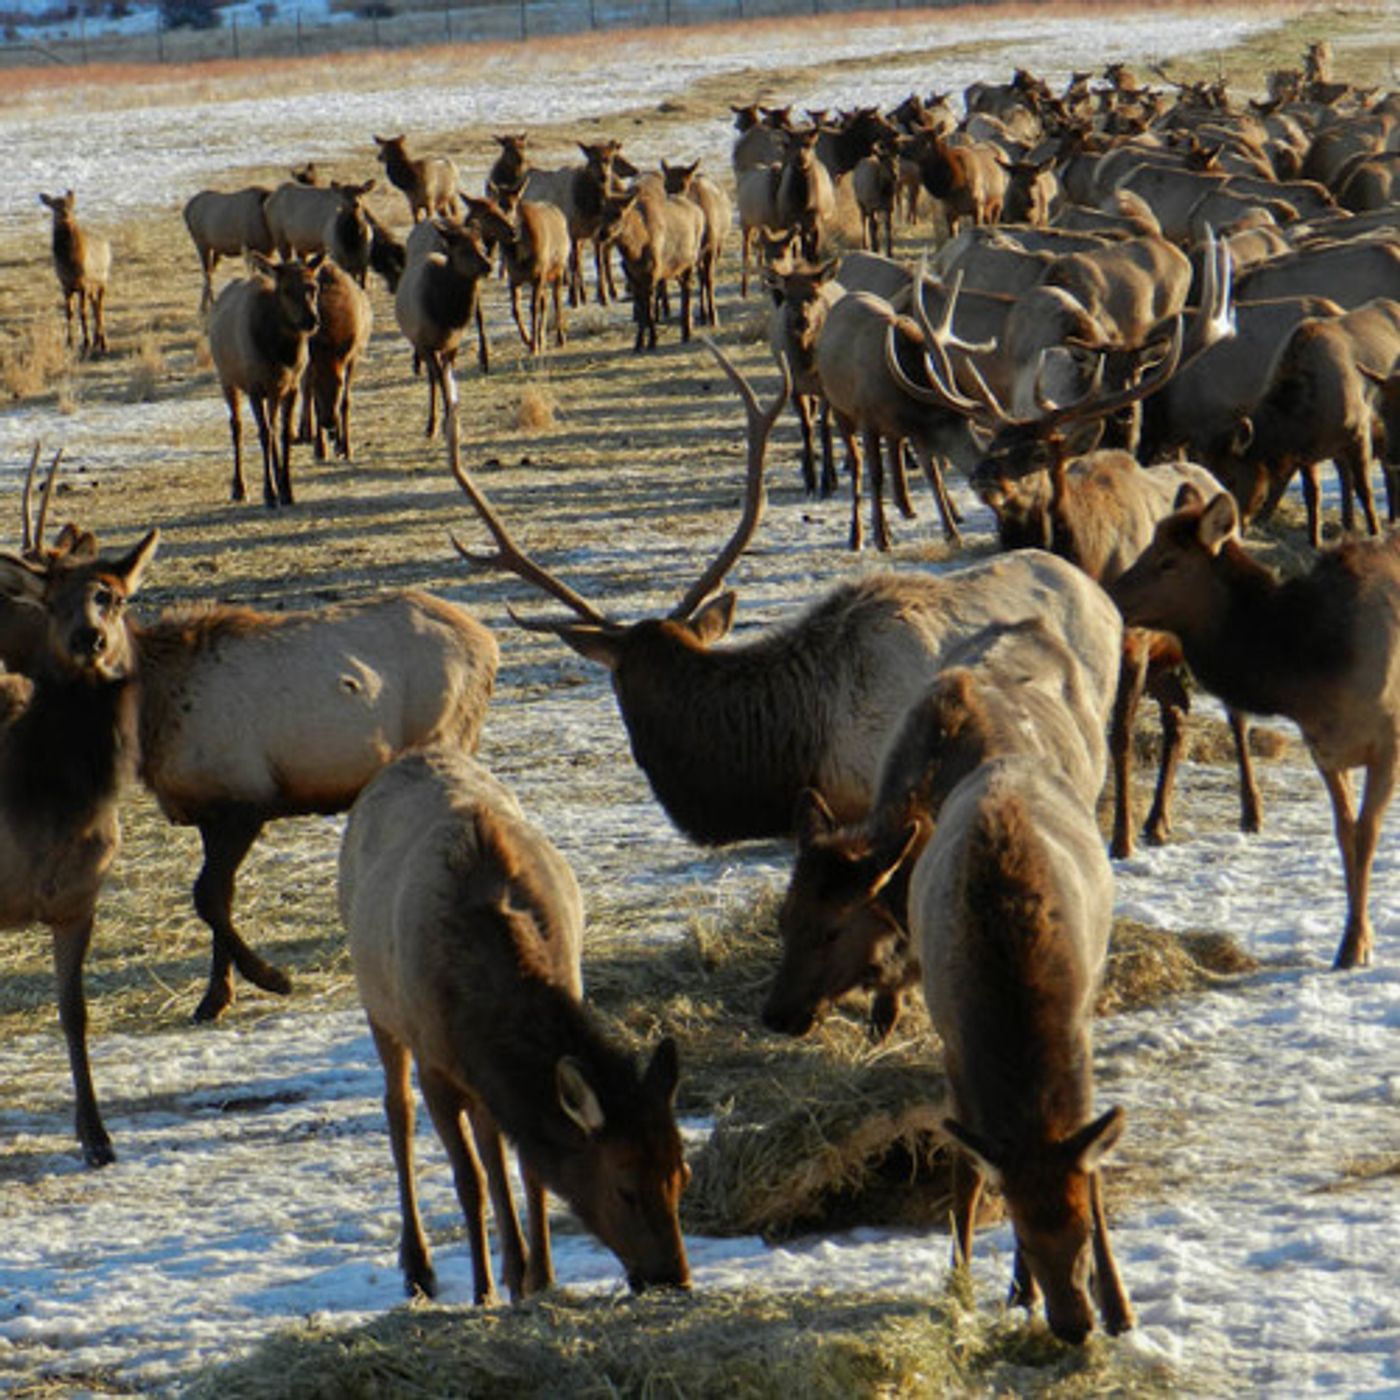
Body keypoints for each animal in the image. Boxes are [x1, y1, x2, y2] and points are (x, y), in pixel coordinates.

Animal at [39, 191, 110, 358]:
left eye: (70, 204)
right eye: (54, 205)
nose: (65, 213)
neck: (70, 262)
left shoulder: (83, 284)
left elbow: (82, 312)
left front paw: (86, 342)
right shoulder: (65, 285)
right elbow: (69, 313)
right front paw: (69, 342)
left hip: (102, 281)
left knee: (100, 307)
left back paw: (103, 343)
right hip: (92, 288)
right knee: (95, 305)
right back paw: (98, 341)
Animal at [207, 253, 321, 508]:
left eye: (313, 286)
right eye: (286, 289)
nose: (311, 320)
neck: (283, 355)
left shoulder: (290, 386)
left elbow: (284, 433)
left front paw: (287, 490)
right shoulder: (255, 387)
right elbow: (264, 434)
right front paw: (269, 493)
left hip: (274, 392)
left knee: (273, 424)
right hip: (227, 380)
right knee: (237, 427)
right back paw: (239, 487)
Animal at [340, 747, 690, 1303]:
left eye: (682, 1172)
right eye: (625, 1190)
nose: (673, 1277)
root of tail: (413, 754)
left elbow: (528, 1166)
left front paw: (540, 1277)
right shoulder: (436, 1065)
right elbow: (469, 1180)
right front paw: (482, 1293)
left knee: (489, 1135)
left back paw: (515, 1266)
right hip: (380, 1009)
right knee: (399, 1112)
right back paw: (419, 1267)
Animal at [916, 754, 1134, 1344]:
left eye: (1085, 1235)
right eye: (1025, 1237)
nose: (1075, 1325)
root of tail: (1008, 759)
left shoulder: (1081, 1034)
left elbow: (1093, 1169)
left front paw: (1119, 1307)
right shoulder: (954, 1052)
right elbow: (968, 1175)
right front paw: (970, 1288)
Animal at [1112, 484, 1400, 970]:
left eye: (1169, 560)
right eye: (1147, 548)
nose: (1109, 593)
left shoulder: (1388, 743)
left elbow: (1366, 834)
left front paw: (1358, 945)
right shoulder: (1325, 749)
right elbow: (1346, 836)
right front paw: (1350, 942)